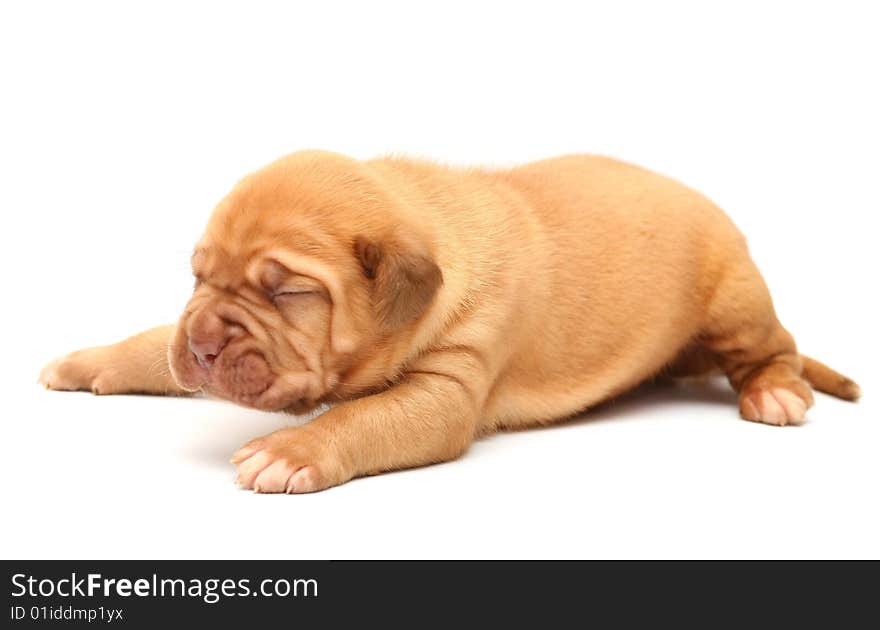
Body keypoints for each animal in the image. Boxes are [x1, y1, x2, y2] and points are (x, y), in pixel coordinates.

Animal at [39, 152, 860, 494]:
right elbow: (152, 344)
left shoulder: (446, 390)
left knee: (774, 348)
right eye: (199, 277)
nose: (204, 345)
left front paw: (290, 451)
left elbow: (360, 419)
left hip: (735, 298)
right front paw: (89, 361)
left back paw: (776, 392)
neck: (431, 215)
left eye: (287, 292)